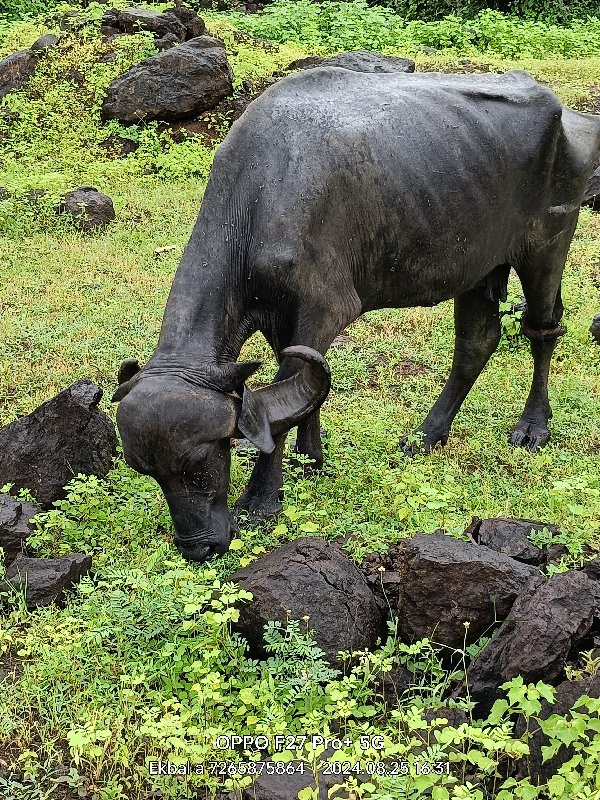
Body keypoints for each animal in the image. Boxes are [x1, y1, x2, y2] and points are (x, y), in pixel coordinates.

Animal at [112, 69, 600, 560]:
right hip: (479, 267)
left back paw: (532, 427)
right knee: (476, 343)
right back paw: (425, 436)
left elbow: (282, 404)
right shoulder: (282, 323)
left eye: (203, 460)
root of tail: (569, 117)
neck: (258, 202)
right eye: (148, 471)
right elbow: (305, 395)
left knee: (542, 330)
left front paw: (261, 499)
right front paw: (311, 459)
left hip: (547, 247)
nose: (200, 546)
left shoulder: (322, 310)